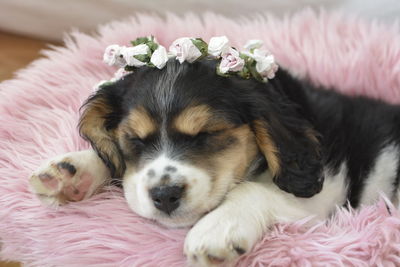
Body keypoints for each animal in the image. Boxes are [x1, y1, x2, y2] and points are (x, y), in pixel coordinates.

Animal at [29, 58, 400, 266]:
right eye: (135, 139)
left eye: (206, 134)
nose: (164, 196)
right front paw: (72, 172)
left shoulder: (325, 196)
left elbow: (251, 189)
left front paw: (217, 230)